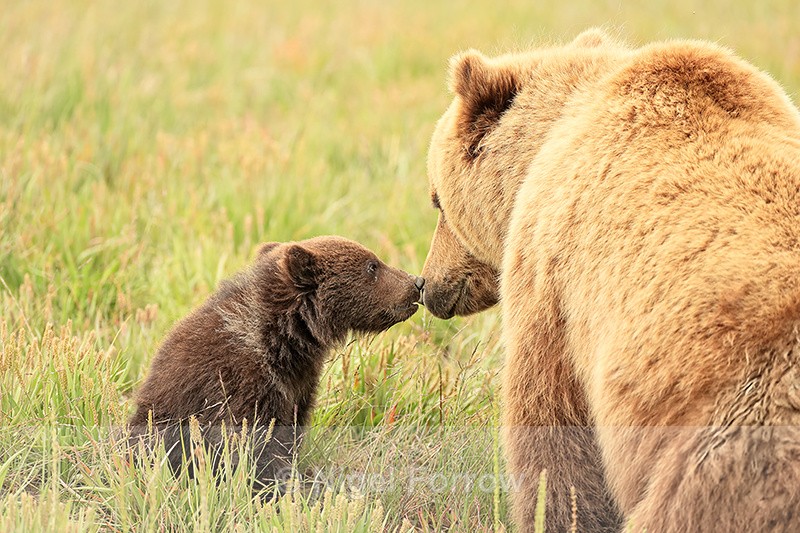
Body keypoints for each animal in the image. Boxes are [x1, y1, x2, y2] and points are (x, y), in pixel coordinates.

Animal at [129, 236, 424, 494]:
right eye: (372, 265)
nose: (417, 282)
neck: (283, 341)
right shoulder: (240, 381)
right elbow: (254, 446)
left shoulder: (299, 384)